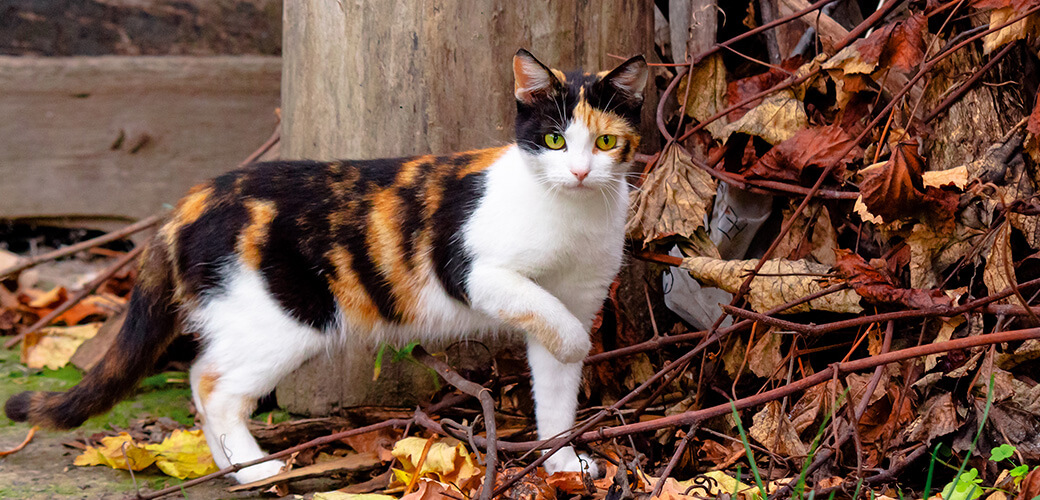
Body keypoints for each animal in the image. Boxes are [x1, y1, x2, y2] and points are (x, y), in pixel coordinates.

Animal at [4, 48, 644, 482]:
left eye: (606, 143)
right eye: (555, 140)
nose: (580, 172)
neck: (572, 212)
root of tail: (192, 200)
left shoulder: (579, 292)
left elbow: (556, 389)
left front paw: (563, 463)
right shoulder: (475, 272)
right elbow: (554, 324)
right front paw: (576, 345)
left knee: (201, 377)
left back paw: (233, 470)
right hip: (283, 318)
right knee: (211, 385)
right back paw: (257, 470)